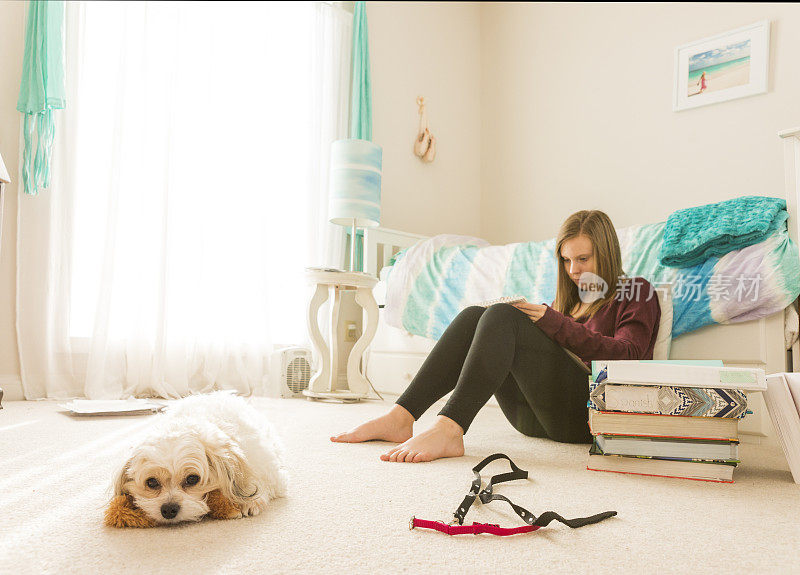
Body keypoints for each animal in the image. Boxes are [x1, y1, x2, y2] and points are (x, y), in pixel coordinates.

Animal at [111, 394, 288, 524]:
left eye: (192, 479)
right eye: (152, 482)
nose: (168, 510)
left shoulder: (274, 474)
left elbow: (262, 484)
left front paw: (250, 501)